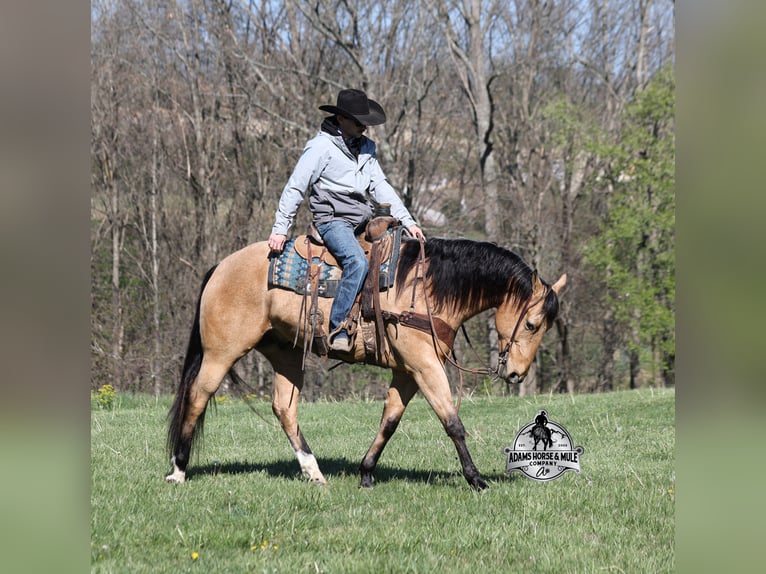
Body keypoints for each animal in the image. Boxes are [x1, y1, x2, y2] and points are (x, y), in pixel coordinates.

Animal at [166, 235, 566, 490]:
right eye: (531, 324)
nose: (516, 373)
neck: (425, 288)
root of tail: (220, 266)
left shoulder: (407, 371)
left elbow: (389, 421)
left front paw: (366, 472)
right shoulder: (424, 366)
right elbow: (452, 421)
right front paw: (476, 479)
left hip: (285, 353)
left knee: (284, 408)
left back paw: (313, 472)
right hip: (221, 353)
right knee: (197, 397)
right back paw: (179, 469)